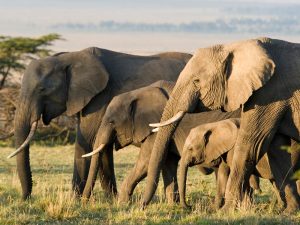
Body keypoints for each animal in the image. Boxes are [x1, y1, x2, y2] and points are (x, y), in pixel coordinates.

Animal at [9, 47, 192, 199]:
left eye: (42, 89)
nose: (26, 198)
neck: (68, 58)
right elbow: (101, 146)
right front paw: (111, 199)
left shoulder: (99, 98)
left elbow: (88, 140)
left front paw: (74, 200)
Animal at [82, 80, 241, 202]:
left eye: (111, 122)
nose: (84, 202)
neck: (137, 92)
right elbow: (168, 163)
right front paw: (173, 205)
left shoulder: (157, 128)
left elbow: (146, 163)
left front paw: (122, 204)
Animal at [142, 37, 300, 209]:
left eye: (196, 81)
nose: (142, 205)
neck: (236, 46)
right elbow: (277, 150)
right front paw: (290, 210)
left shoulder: (269, 95)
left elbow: (252, 143)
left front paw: (226, 210)